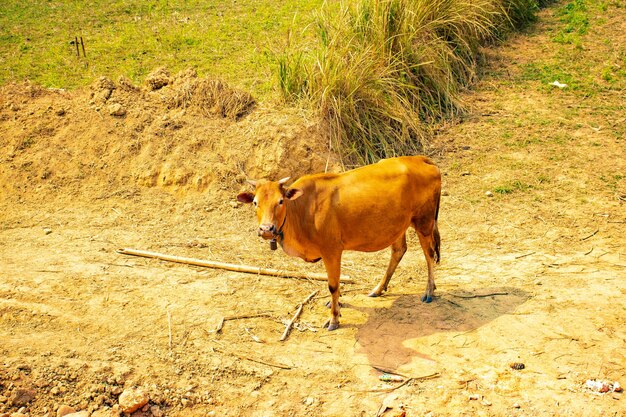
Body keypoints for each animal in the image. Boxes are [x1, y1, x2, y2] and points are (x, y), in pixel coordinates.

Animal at [236, 154, 442, 330]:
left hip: (424, 221)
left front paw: (334, 318)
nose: (266, 229)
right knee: (399, 250)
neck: (302, 209)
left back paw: (429, 291)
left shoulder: (331, 250)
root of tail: (421, 159)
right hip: (398, 225)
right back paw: (378, 288)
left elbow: (333, 285)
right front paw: (337, 303)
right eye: (255, 202)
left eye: (280, 201)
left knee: (429, 253)